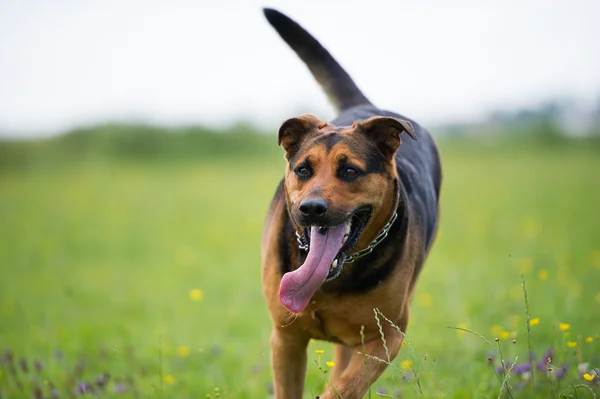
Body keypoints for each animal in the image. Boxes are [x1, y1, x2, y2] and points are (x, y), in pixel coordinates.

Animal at [262, 8, 440, 399]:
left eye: (349, 171)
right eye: (303, 169)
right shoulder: (285, 337)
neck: (330, 279)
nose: (311, 209)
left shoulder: (385, 337)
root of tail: (369, 107)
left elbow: (343, 388)